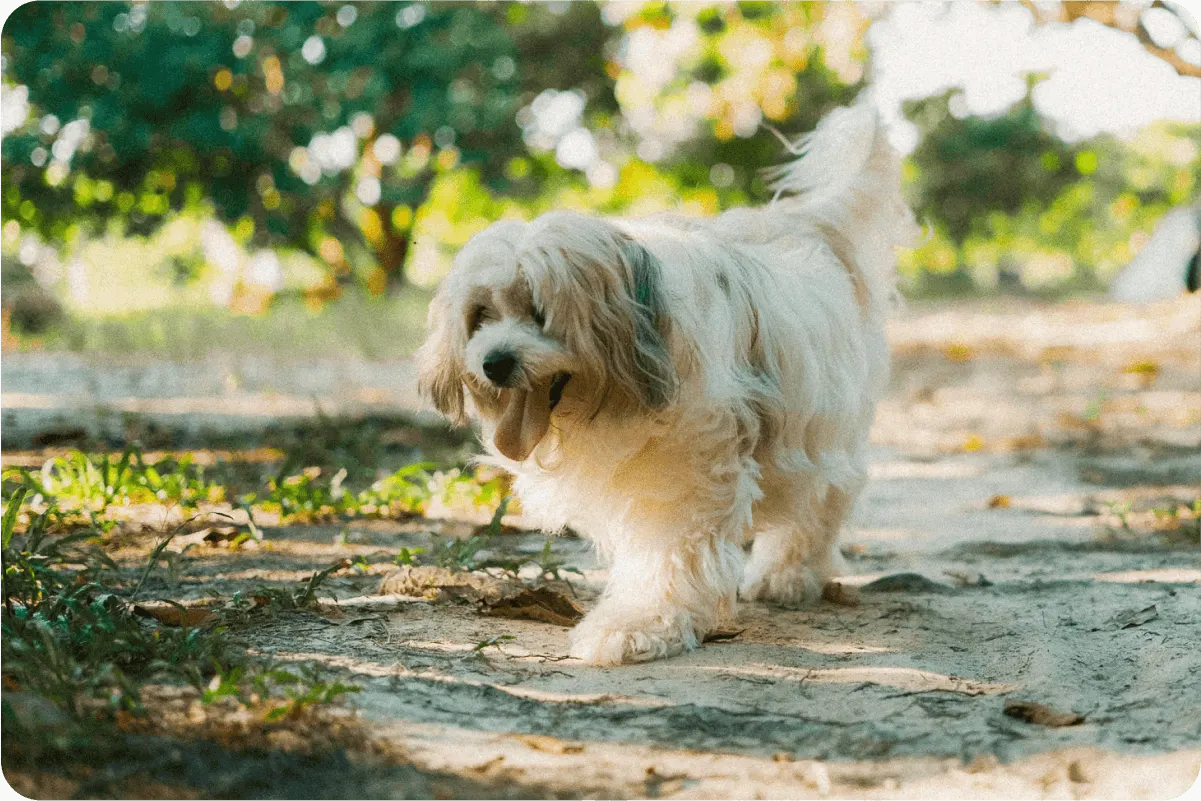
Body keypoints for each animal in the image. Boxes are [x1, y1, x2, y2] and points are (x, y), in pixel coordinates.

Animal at [417, 98, 912, 662]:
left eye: (540, 312)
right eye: (480, 315)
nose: (493, 363)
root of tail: (802, 224)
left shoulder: (690, 471)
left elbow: (672, 552)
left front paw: (639, 624)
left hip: (819, 424)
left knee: (824, 498)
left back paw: (788, 573)